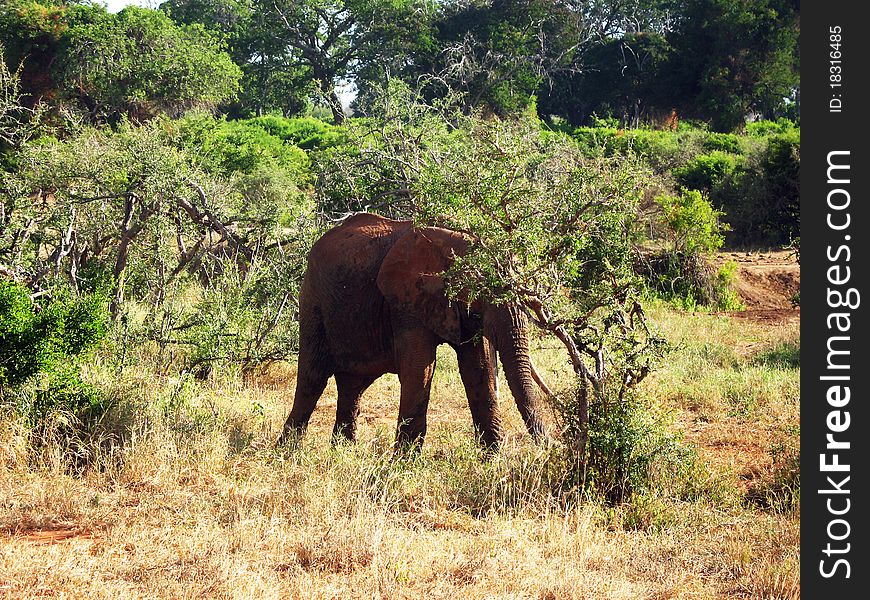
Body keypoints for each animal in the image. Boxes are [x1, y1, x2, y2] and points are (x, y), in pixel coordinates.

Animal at [280, 213, 548, 448]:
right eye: (480, 290)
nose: (546, 447)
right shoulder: (405, 300)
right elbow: (419, 369)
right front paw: (402, 464)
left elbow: (478, 370)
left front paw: (492, 458)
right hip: (313, 300)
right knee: (313, 377)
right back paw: (288, 452)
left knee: (352, 385)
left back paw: (342, 452)